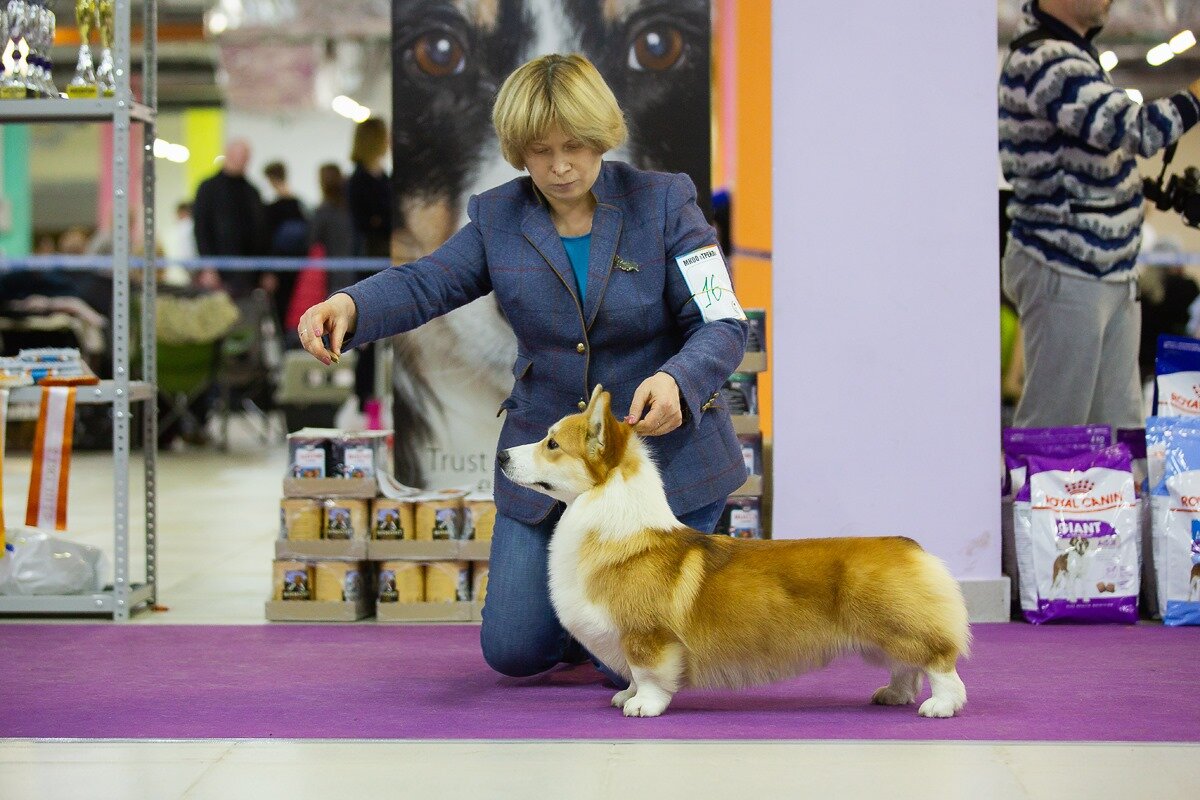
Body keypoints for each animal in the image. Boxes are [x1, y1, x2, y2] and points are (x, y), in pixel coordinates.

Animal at [499, 388, 974, 719]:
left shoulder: (646, 637)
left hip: (897, 627)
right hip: (883, 638)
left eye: (552, 444)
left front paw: (642, 705)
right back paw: (894, 695)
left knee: (938, 662)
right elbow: (632, 676)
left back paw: (940, 706)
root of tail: (909, 546)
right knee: (905, 667)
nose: (501, 455)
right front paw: (625, 695)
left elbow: (648, 673)